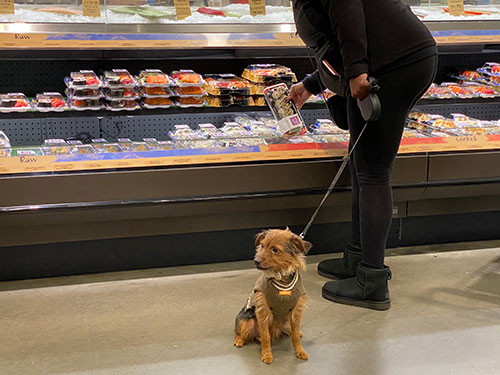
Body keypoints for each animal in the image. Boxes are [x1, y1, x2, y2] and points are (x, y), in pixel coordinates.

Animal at [233, 229, 310, 364]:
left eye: (274, 249)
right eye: (262, 246)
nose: (256, 261)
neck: (282, 279)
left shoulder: (296, 311)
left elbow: (295, 335)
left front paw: (300, 351)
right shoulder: (263, 312)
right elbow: (265, 336)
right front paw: (267, 354)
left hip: (285, 322)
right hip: (247, 322)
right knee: (241, 332)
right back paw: (239, 340)